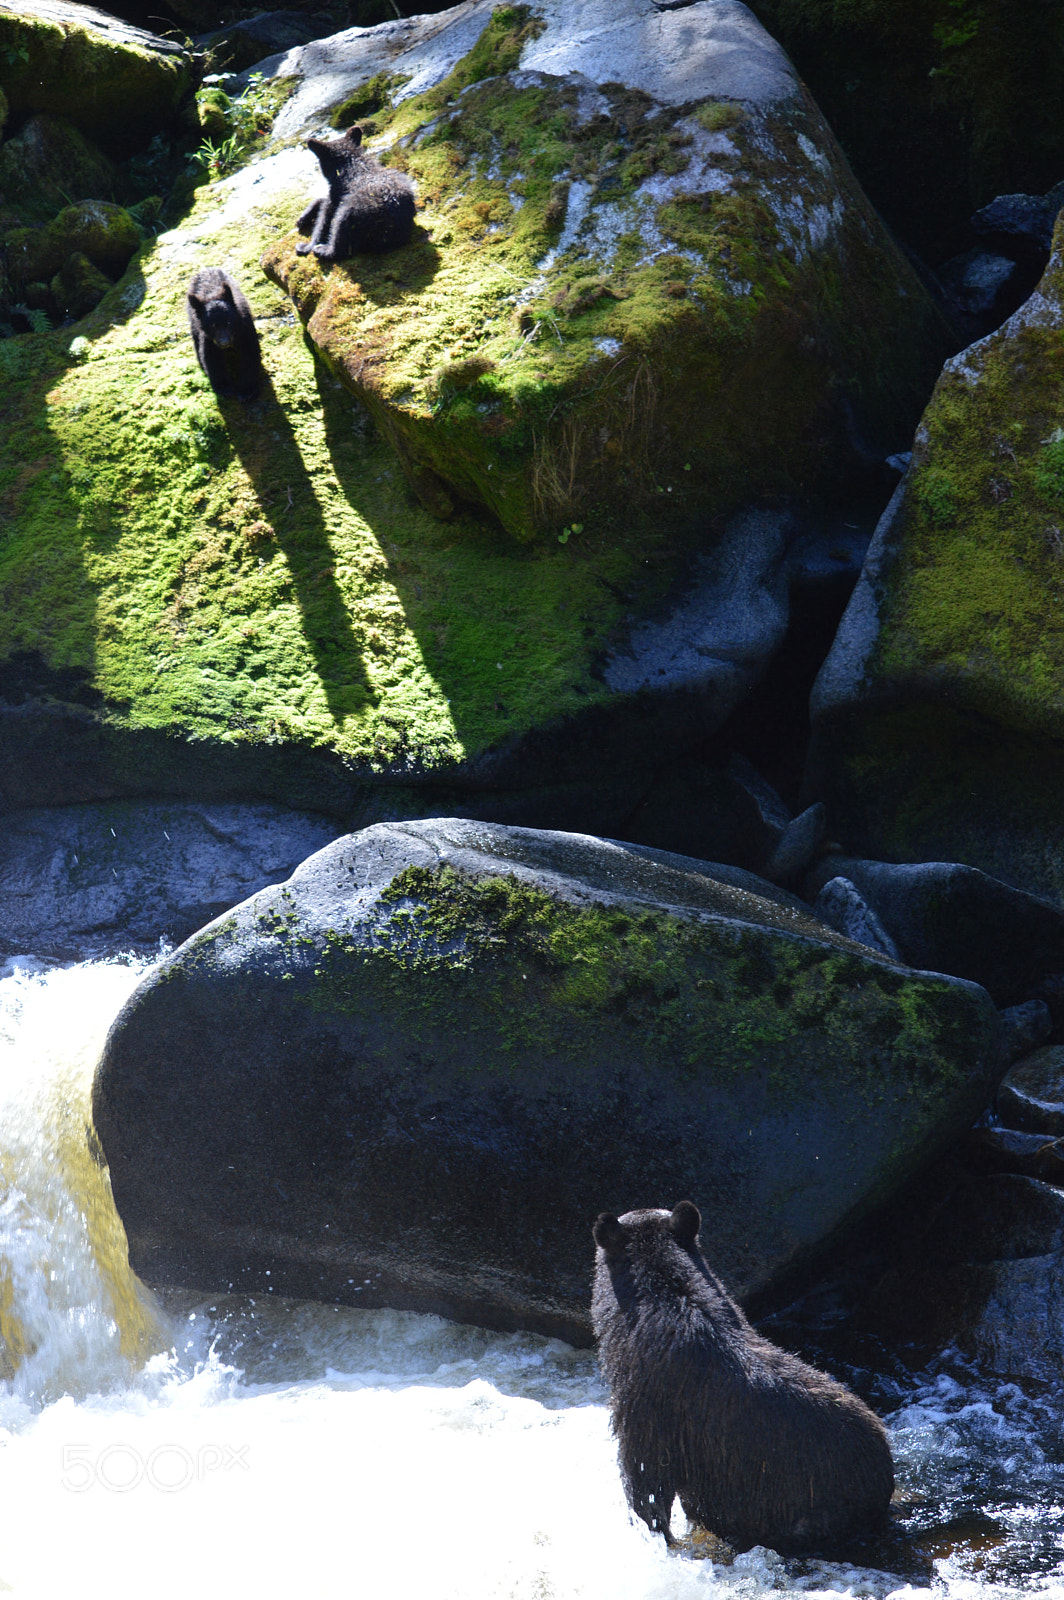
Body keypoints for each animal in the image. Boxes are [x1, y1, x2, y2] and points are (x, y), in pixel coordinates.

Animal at [186, 268, 264, 401]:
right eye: (213, 325)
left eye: (228, 322)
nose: (224, 342)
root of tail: (207, 268)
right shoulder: (208, 338)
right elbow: (211, 357)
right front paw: (224, 387)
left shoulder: (244, 328)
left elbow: (249, 353)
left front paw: (246, 390)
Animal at [296, 126, 416, 263]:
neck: (351, 164)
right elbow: (321, 201)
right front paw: (304, 216)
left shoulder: (336, 195)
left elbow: (323, 219)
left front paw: (307, 246)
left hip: (354, 211)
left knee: (341, 232)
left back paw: (324, 250)